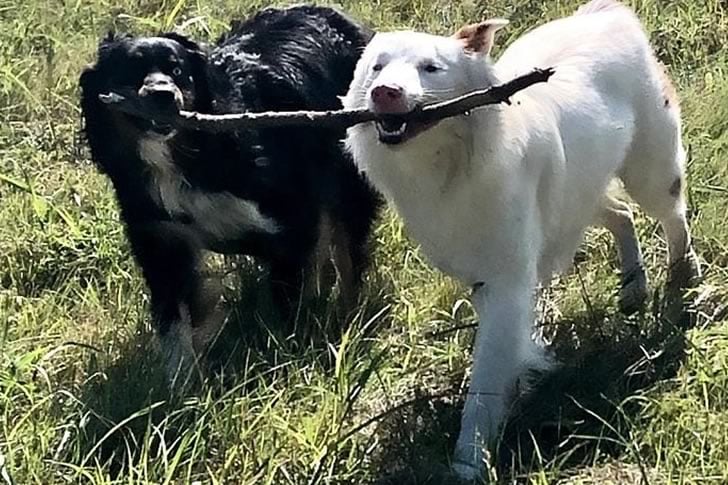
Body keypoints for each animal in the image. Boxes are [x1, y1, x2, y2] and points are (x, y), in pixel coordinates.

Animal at [80, 6, 379, 385]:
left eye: (177, 70)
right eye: (129, 71)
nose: (163, 94)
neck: (187, 156)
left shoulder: (291, 217)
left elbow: (289, 295)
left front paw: (287, 351)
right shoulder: (161, 241)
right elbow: (175, 321)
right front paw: (182, 383)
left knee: (348, 250)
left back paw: (349, 314)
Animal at [343, 0, 700, 479]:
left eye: (431, 68)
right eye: (377, 67)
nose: (384, 92)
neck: (451, 165)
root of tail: (606, 13)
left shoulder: (507, 282)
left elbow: (487, 380)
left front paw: (469, 460)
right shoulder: (482, 279)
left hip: (650, 171)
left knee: (673, 216)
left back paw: (683, 277)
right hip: (578, 194)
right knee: (622, 215)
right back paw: (632, 288)